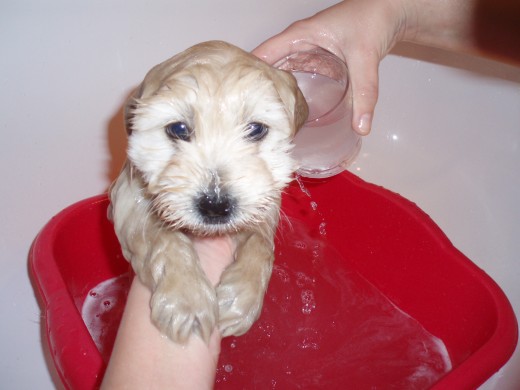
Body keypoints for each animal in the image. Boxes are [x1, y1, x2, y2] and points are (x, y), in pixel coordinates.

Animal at [107, 41, 306, 342]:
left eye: (255, 129)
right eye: (178, 129)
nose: (215, 205)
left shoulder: (263, 197)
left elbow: (261, 243)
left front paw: (242, 296)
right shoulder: (129, 197)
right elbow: (161, 236)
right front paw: (186, 296)